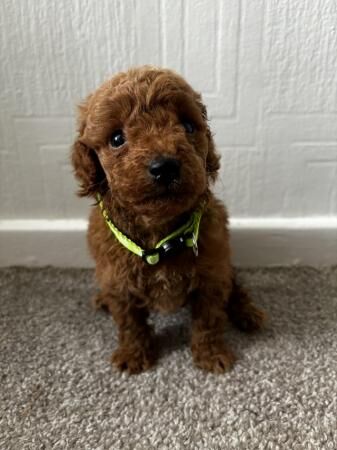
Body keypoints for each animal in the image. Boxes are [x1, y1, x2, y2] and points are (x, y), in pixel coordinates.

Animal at [71, 65, 266, 374]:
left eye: (188, 126)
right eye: (116, 139)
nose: (165, 167)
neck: (158, 238)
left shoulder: (211, 274)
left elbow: (209, 319)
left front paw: (211, 355)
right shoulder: (120, 282)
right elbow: (129, 322)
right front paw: (134, 355)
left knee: (234, 285)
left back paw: (248, 312)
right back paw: (102, 299)